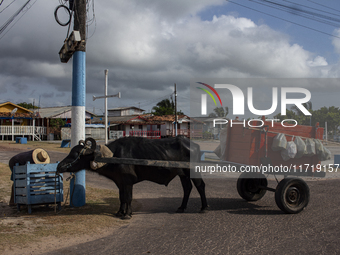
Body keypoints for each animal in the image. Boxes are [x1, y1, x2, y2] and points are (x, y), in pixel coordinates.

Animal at [56, 136, 207, 218]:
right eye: (71, 152)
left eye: (77, 154)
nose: (59, 166)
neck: (113, 156)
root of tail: (193, 144)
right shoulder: (120, 183)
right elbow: (122, 198)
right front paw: (119, 212)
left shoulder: (128, 182)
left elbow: (128, 198)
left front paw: (127, 214)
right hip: (183, 174)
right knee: (187, 188)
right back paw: (181, 207)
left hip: (193, 171)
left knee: (200, 186)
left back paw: (204, 208)